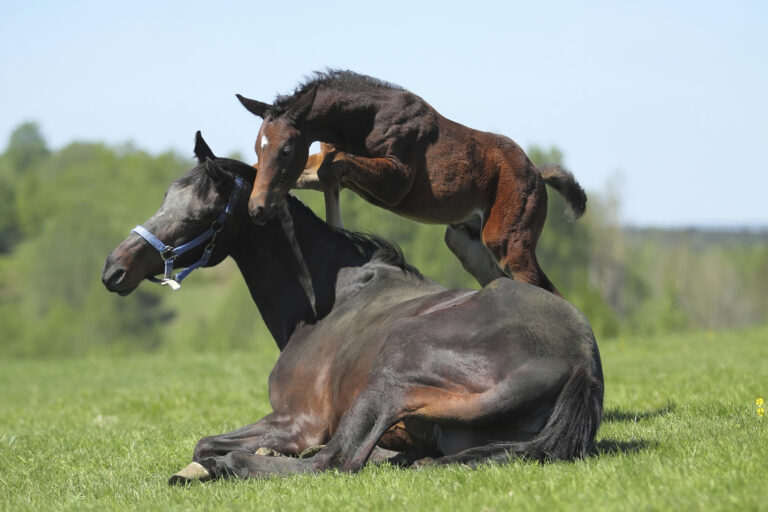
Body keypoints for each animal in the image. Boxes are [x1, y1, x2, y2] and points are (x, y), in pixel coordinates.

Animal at [102, 132, 604, 484]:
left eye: (200, 215)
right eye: (165, 199)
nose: (114, 269)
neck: (328, 305)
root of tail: (581, 362)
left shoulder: (298, 421)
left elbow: (205, 444)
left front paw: (221, 461)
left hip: (391, 372)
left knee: (332, 460)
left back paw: (238, 464)